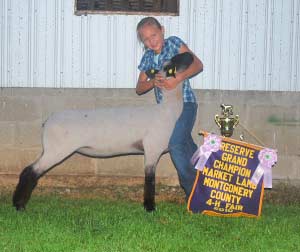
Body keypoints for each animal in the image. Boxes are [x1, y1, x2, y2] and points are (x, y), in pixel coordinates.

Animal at [12, 52, 195, 212]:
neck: (167, 111)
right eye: (171, 65)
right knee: (30, 172)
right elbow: (150, 180)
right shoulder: (152, 148)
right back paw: (19, 206)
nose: (190, 55)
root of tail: (47, 122)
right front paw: (149, 207)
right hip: (56, 150)